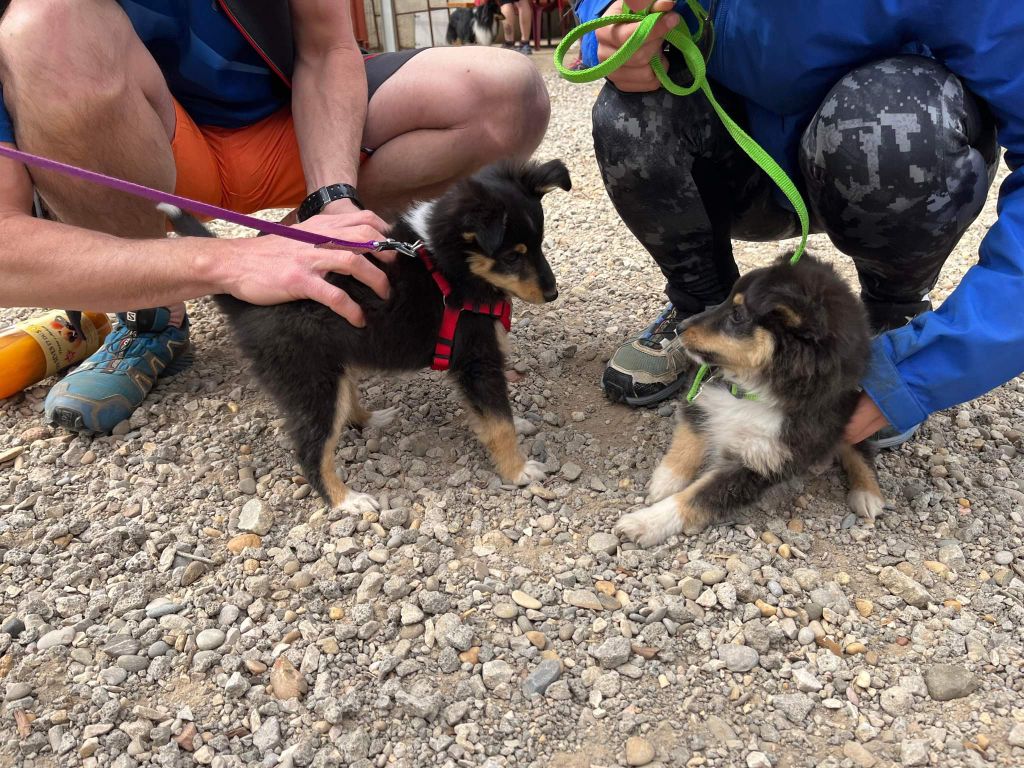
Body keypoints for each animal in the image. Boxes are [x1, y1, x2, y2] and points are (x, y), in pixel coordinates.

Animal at [163, 159, 573, 514]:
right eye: (512, 256)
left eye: (539, 244)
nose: (552, 294)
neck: (450, 260)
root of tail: (246, 300)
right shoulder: (476, 360)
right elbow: (498, 422)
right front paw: (518, 471)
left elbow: (497, 413)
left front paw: (519, 428)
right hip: (312, 380)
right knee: (311, 450)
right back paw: (345, 500)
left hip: (333, 364)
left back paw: (370, 419)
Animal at [610, 256, 884, 548]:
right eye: (727, 300)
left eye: (738, 315)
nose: (680, 328)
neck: (751, 391)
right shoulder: (703, 396)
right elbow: (689, 440)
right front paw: (664, 481)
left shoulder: (762, 463)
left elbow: (700, 496)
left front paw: (645, 522)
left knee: (859, 447)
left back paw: (868, 493)